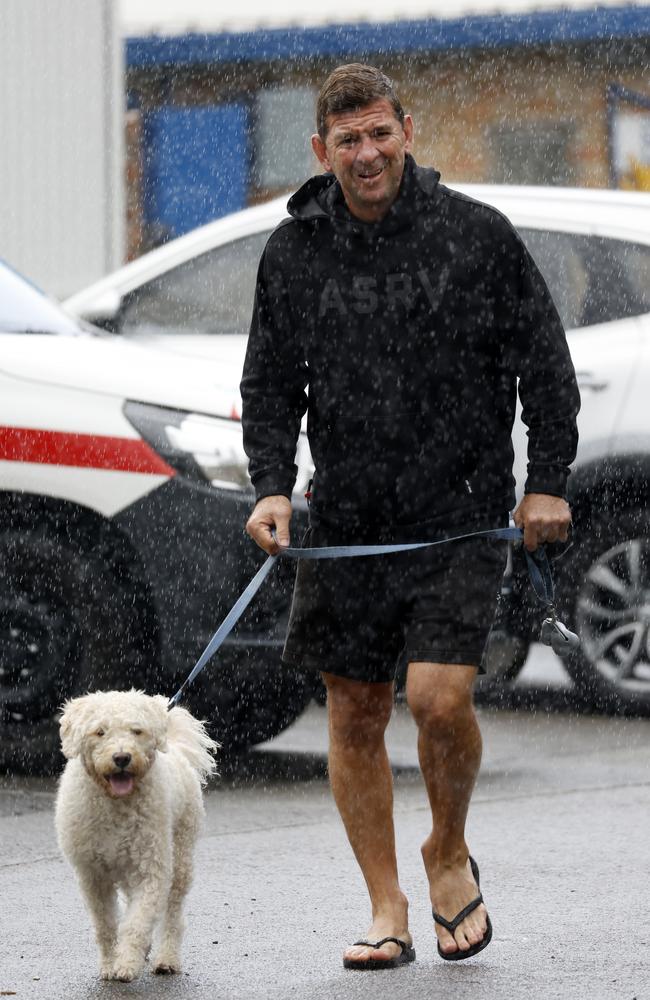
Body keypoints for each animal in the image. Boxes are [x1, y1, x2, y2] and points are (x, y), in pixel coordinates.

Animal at [54, 692, 216, 980]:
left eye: (136, 731)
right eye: (100, 732)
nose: (121, 758)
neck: (115, 803)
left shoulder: (151, 870)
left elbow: (137, 922)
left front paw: (127, 963)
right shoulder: (93, 876)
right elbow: (106, 924)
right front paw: (110, 964)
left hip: (181, 854)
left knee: (173, 914)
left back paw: (166, 958)